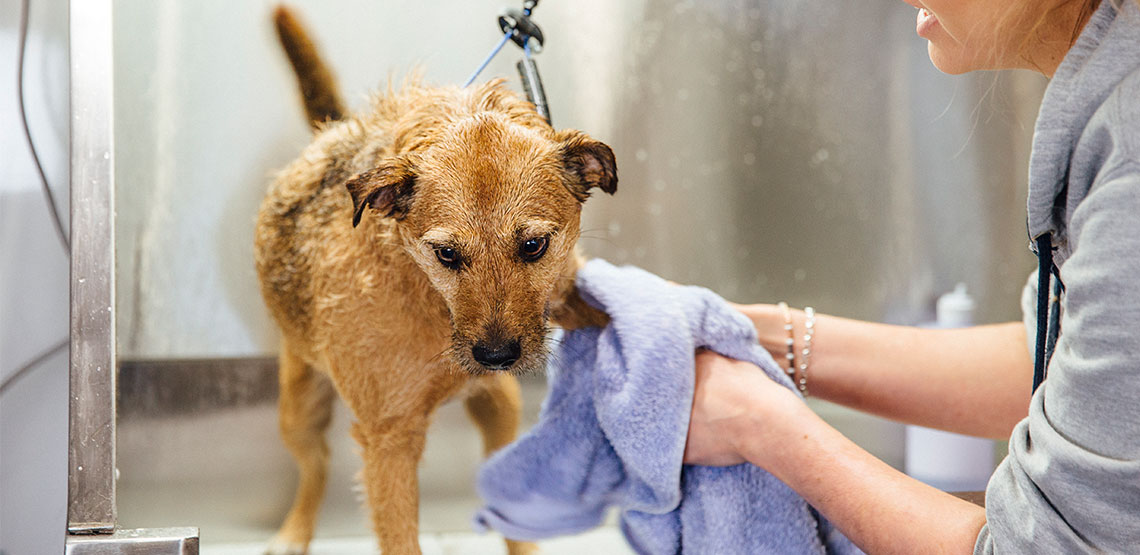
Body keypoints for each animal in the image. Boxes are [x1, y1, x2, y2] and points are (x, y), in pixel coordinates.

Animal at [256, 5, 615, 555]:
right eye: (446, 253)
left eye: (534, 245)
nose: (495, 356)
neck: (432, 303)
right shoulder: (389, 442)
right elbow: (400, 534)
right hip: (299, 408)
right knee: (315, 465)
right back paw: (294, 532)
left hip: (500, 404)